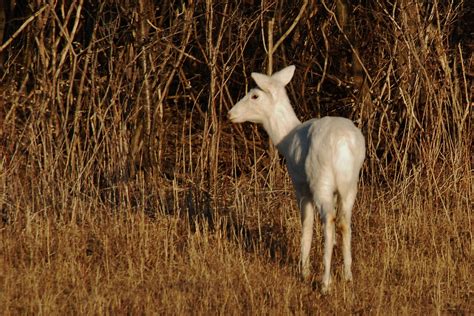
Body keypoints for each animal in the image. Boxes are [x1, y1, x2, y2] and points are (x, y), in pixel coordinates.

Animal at [230, 65, 366, 294]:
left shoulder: (300, 185)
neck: (286, 139)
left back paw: (325, 283)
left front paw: (304, 271)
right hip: (350, 183)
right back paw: (348, 276)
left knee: (328, 219)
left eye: (255, 95)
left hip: (321, 179)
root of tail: (343, 145)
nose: (231, 113)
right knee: (344, 221)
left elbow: (306, 223)